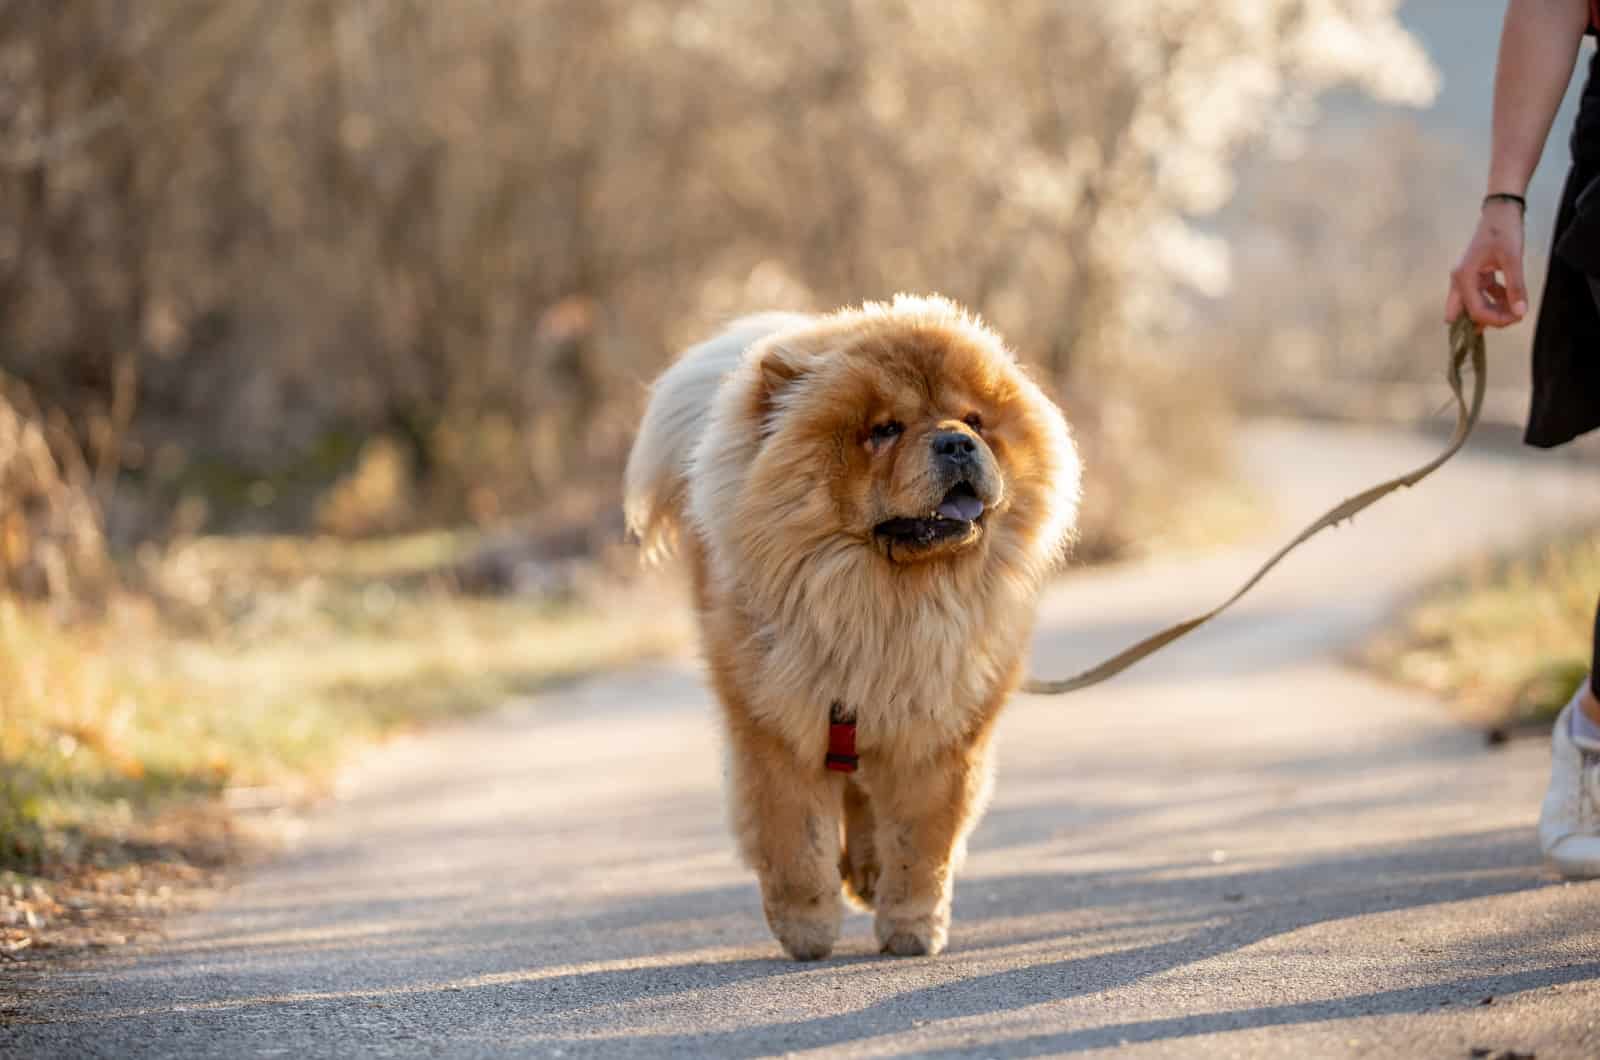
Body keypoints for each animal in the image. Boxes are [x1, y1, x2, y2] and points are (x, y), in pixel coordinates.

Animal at [617, 294, 1081, 960]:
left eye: (975, 419)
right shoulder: (774, 729)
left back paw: (866, 871)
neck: (881, 610)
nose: (957, 443)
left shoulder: (939, 733)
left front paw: (912, 928)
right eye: (884, 430)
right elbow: (794, 842)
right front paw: (807, 930)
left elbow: (922, 844)